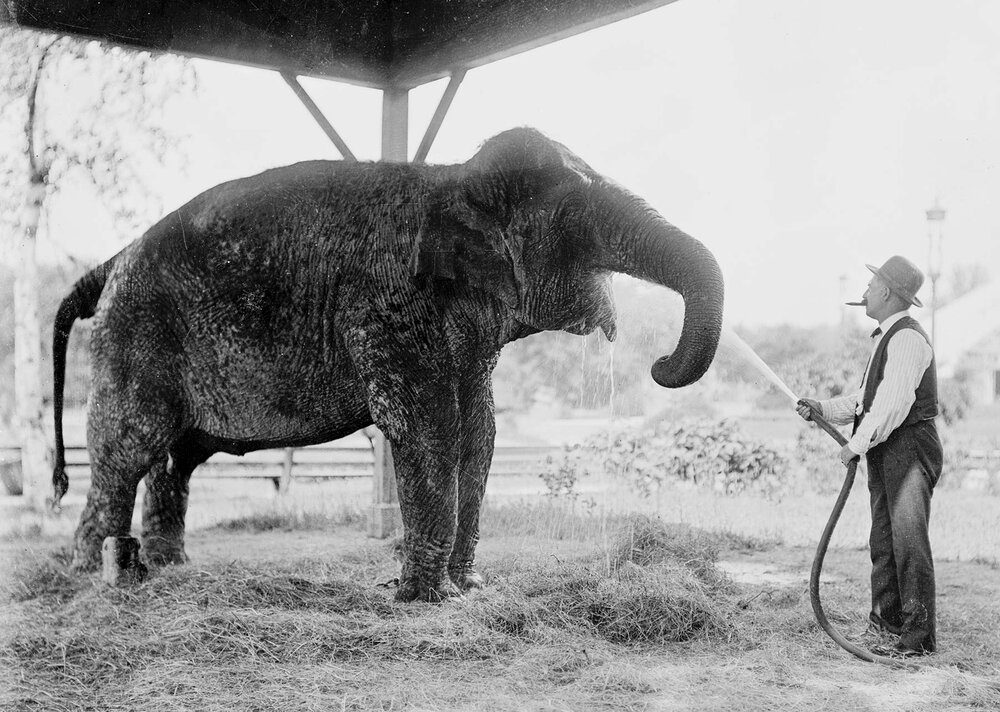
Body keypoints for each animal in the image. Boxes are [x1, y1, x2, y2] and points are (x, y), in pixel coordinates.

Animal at [50, 126, 724, 600]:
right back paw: (93, 575)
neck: (452, 179)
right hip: (135, 339)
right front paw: (425, 598)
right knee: (127, 450)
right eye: (575, 219)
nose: (660, 364)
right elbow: (427, 428)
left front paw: (467, 590)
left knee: (173, 460)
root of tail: (112, 260)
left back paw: (169, 568)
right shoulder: (390, 304)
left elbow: (479, 433)